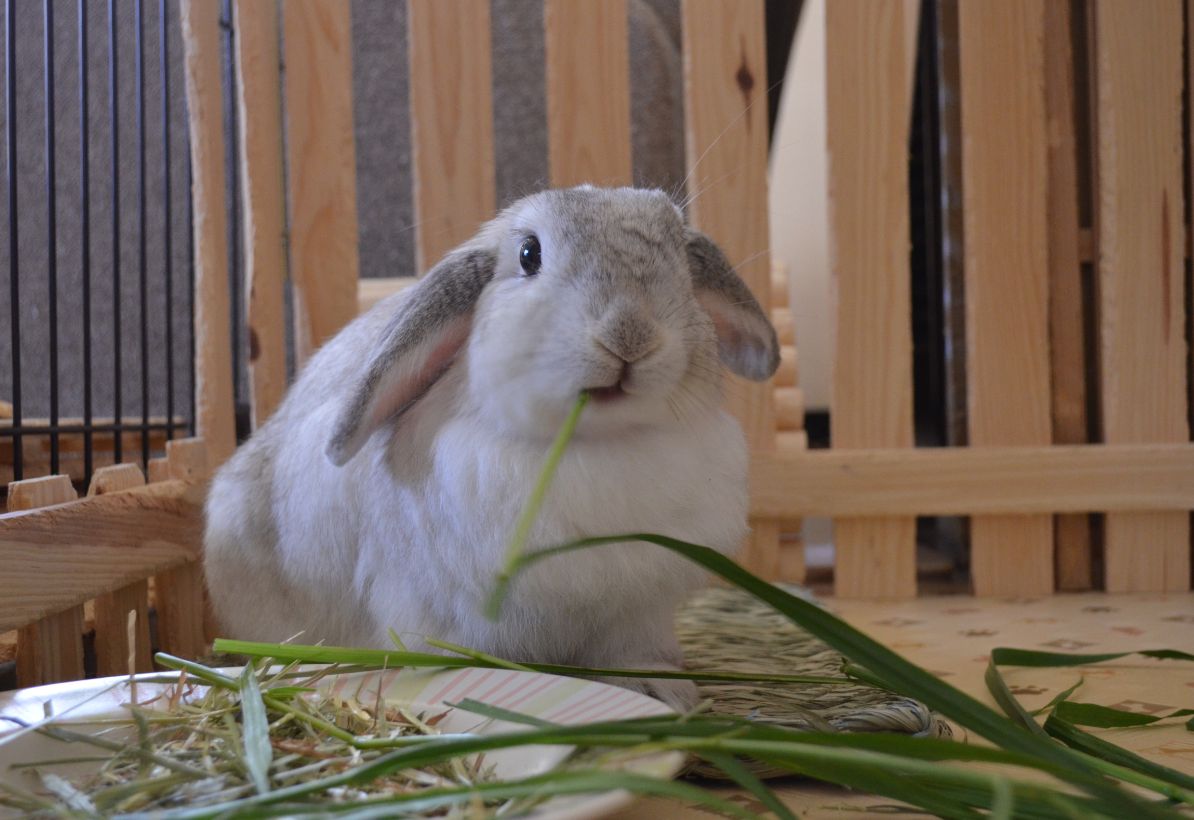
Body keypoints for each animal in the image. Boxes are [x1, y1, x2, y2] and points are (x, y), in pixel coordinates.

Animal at [204, 185, 780, 711]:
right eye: (529, 254)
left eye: (679, 256)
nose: (630, 334)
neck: (597, 444)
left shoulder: (638, 613)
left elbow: (632, 655)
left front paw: (662, 691)